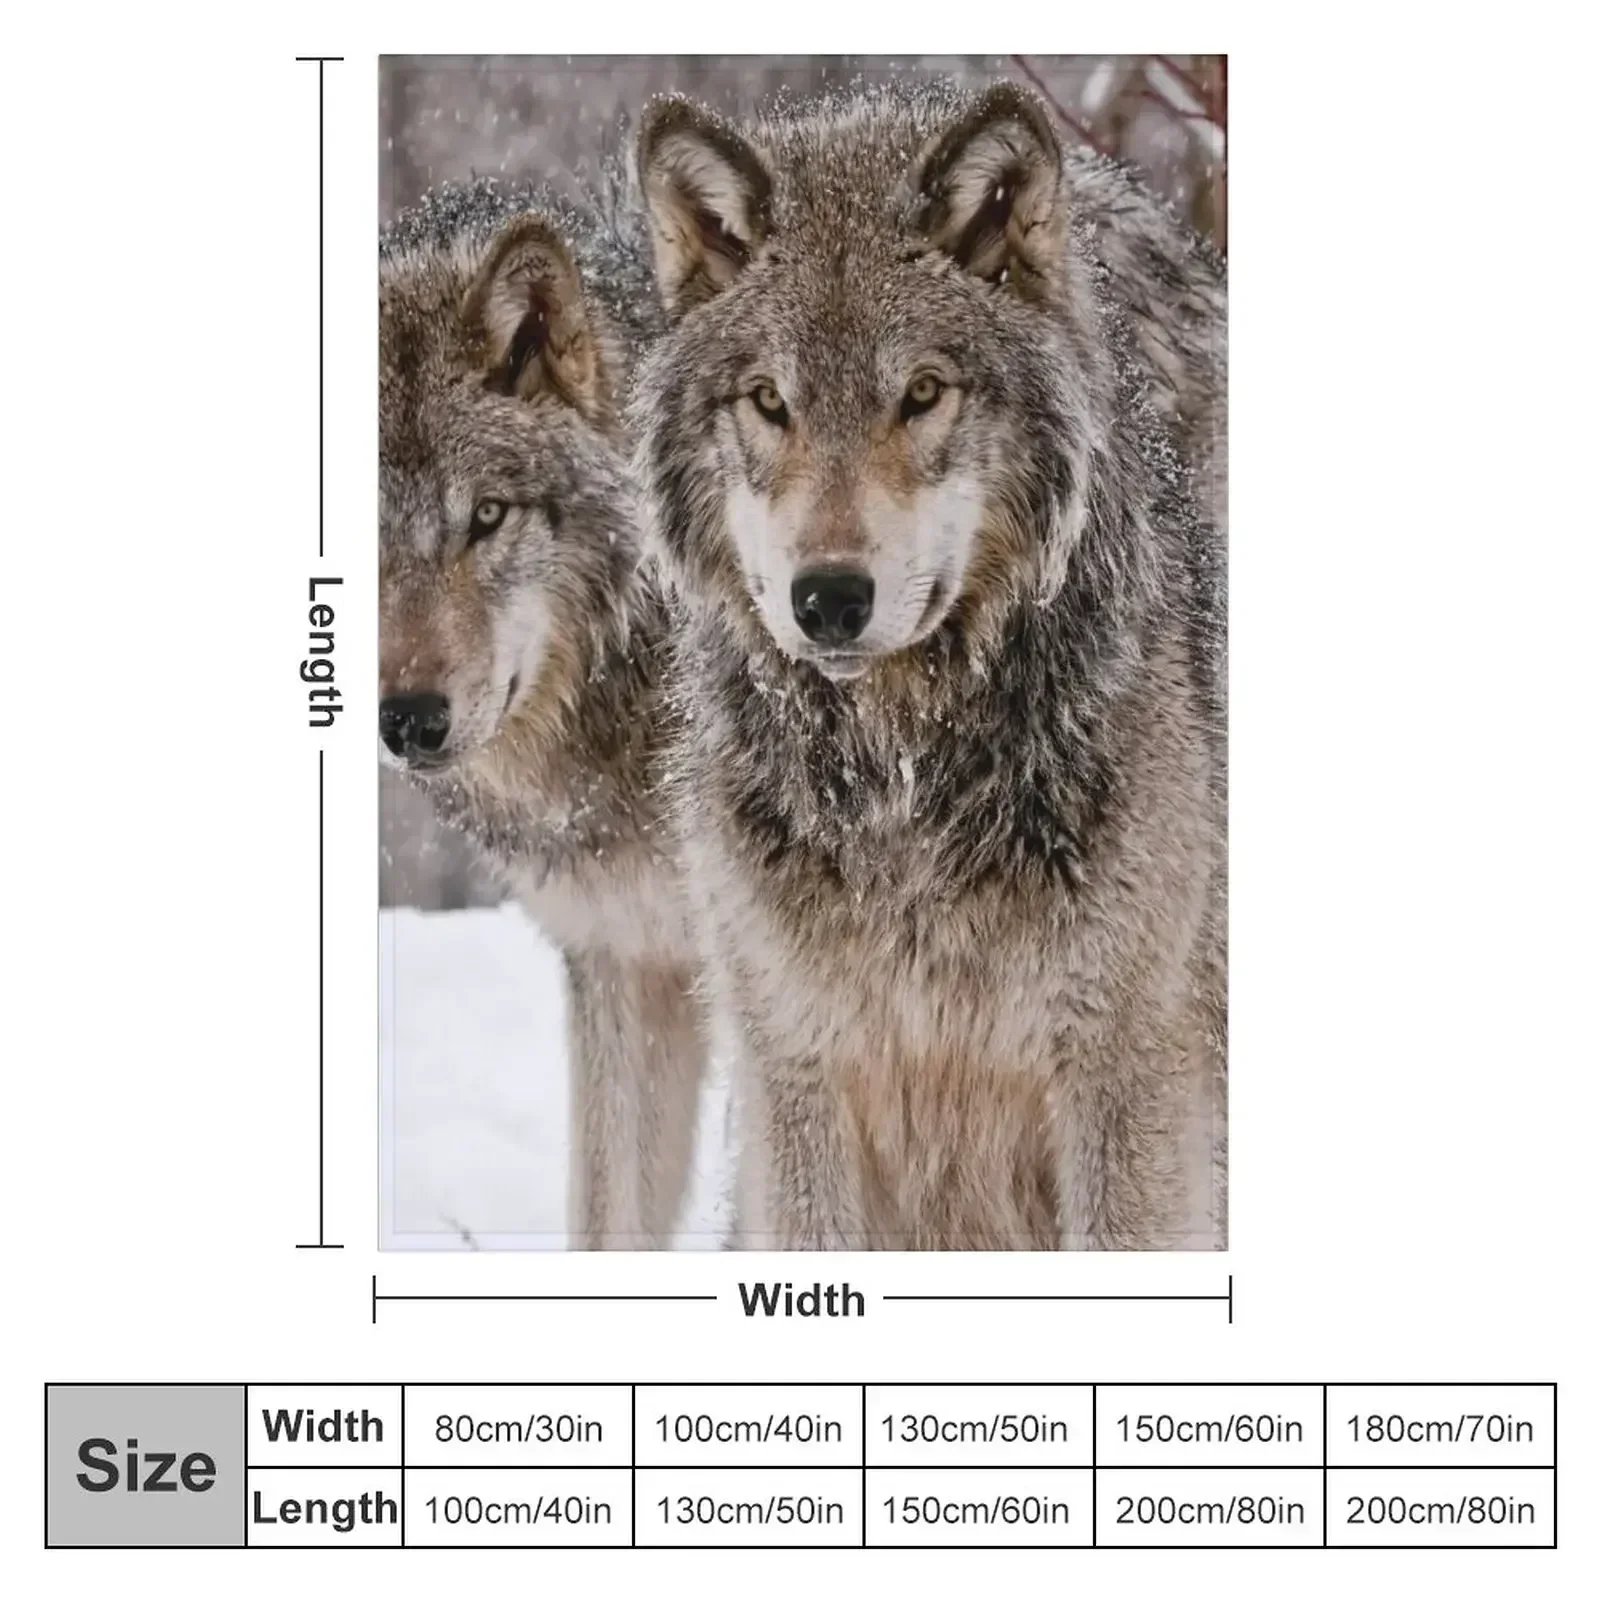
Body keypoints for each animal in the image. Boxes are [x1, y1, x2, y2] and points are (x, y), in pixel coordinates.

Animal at [631, 80, 1227, 1249]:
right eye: (770, 401)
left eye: (921, 393)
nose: (828, 598)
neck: (901, 781)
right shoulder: (797, 1080)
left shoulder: (1125, 1080)